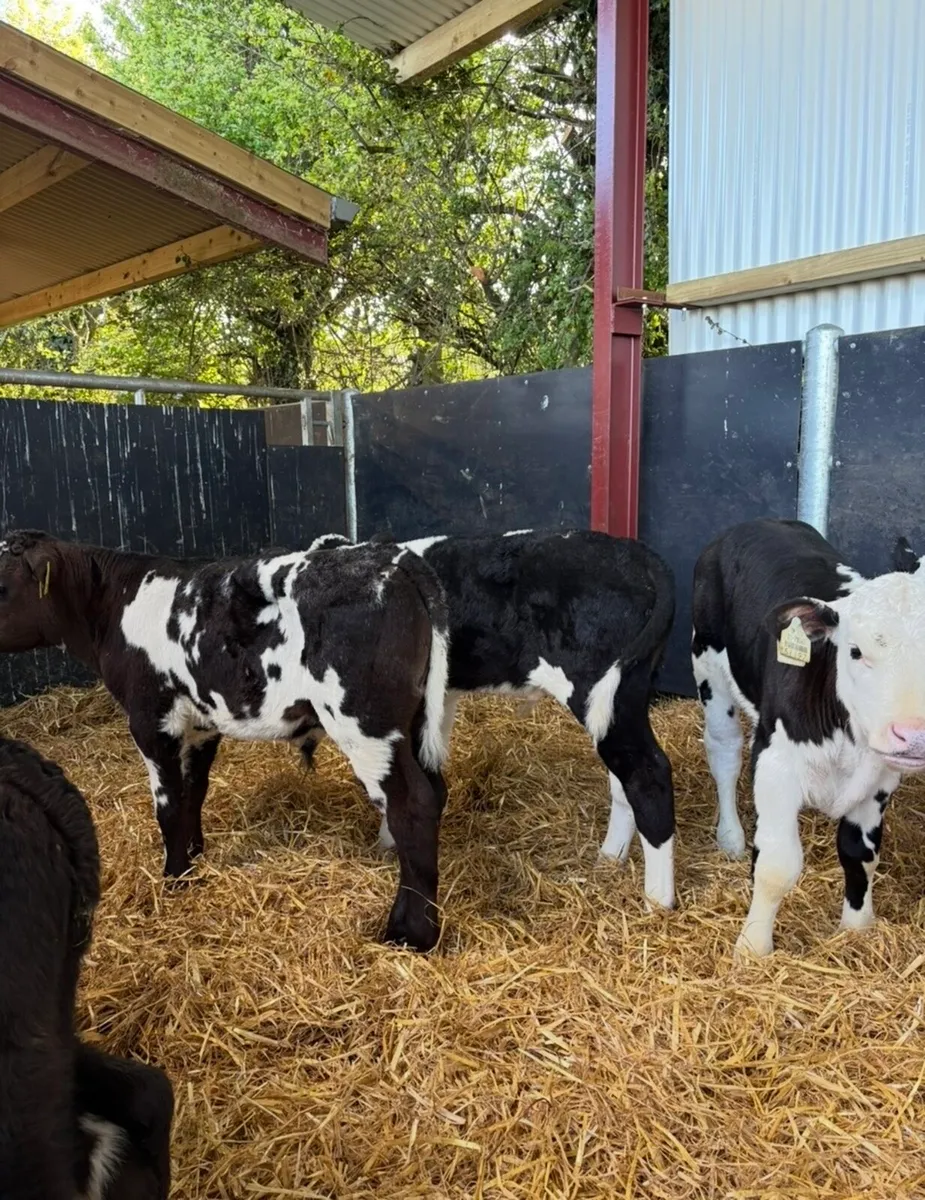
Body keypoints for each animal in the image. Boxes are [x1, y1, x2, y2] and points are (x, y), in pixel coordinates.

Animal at [0, 531, 450, 952]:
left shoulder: (151, 721)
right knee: (434, 791)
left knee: (411, 806)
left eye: (2, 583)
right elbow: (193, 792)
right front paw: (194, 854)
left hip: (365, 723)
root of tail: (389, 558)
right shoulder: (202, 724)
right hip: (412, 723)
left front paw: (175, 876)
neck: (115, 605)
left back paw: (410, 933)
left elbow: (168, 804)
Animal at [302, 529, 677, 911]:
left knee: (648, 775)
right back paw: (610, 859)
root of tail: (635, 552)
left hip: (607, 691)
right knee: (623, 780)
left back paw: (656, 901)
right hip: (613, 705)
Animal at [692, 517, 925, 958]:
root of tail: (760, 522)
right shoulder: (776, 765)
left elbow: (860, 855)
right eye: (855, 651)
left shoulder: (880, 780)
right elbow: (776, 865)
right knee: (725, 753)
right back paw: (730, 837)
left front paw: (857, 927)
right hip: (709, 667)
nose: (914, 735)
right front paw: (752, 947)